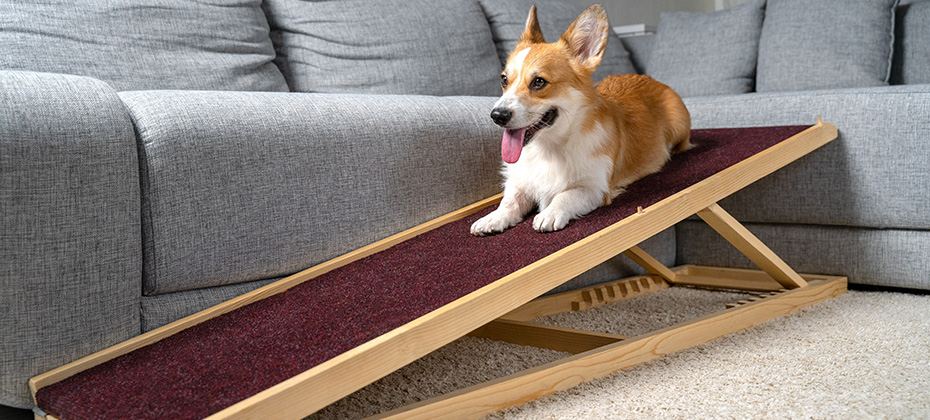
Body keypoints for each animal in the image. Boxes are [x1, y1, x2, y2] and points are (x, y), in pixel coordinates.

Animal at [472, 4, 688, 236]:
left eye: (539, 82)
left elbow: (565, 195)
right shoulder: (521, 183)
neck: (548, 149)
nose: (497, 115)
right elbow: (509, 201)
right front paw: (492, 218)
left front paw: (549, 213)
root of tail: (651, 79)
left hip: (679, 127)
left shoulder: (594, 187)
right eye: (504, 80)